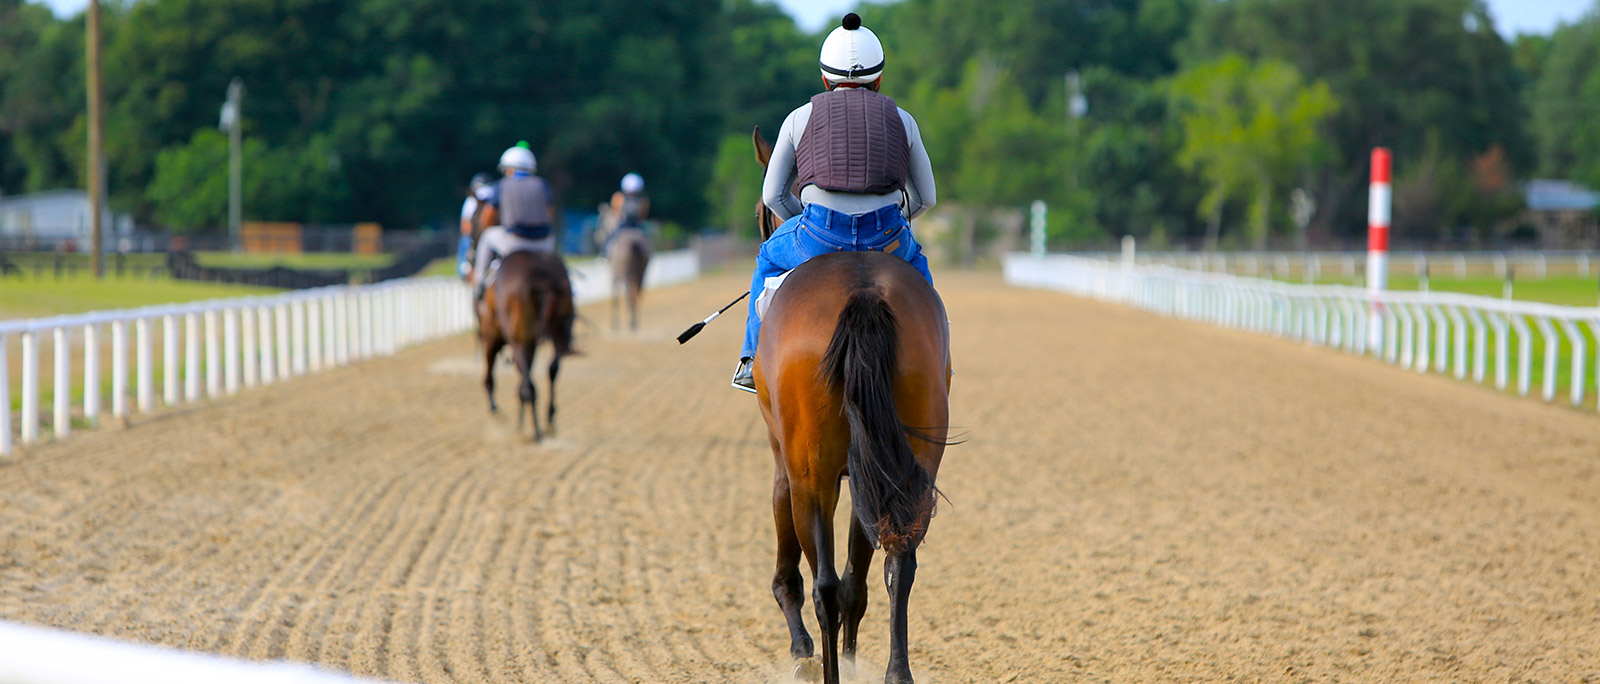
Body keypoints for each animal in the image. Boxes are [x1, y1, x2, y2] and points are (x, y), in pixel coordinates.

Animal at [476, 249, 576, 442]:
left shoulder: (493, 338)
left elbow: (491, 378)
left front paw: (499, 414)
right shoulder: (532, 342)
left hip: (511, 339)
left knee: (527, 385)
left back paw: (534, 431)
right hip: (560, 330)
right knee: (553, 369)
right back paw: (548, 419)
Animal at [750, 127, 953, 684]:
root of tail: (861, 290)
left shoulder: (786, 465)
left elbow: (797, 572)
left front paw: (803, 654)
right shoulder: (870, 469)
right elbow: (861, 576)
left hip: (812, 474)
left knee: (824, 585)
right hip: (910, 458)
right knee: (898, 562)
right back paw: (896, 673)